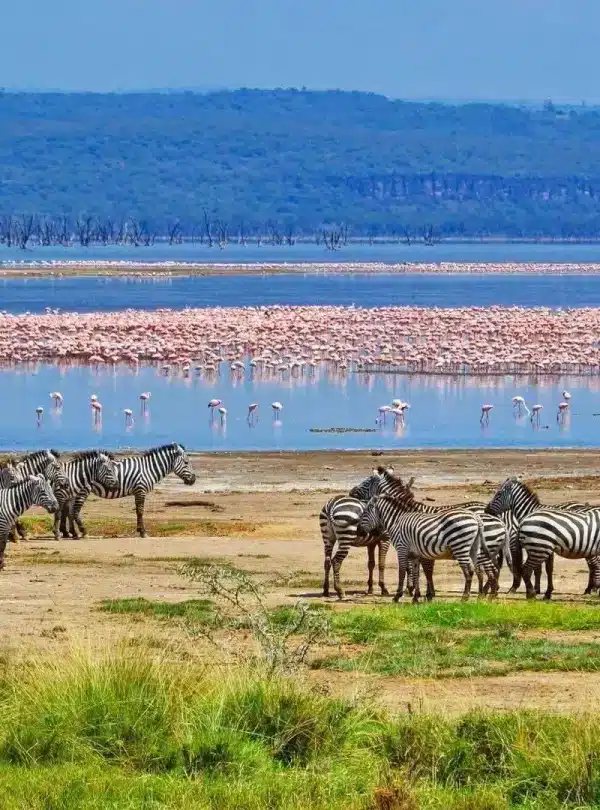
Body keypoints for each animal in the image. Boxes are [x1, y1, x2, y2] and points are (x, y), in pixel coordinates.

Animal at [59, 443, 196, 539]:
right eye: (186, 462)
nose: (194, 479)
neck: (149, 469)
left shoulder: (137, 491)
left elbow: (137, 511)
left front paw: (139, 530)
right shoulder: (141, 490)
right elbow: (140, 511)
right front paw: (143, 532)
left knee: (67, 510)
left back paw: (69, 532)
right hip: (82, 491)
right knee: (74, 510)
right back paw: (81, 532)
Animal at [356, 495, 487, 602]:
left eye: (365, 512)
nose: (358, 531)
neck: (397, 521)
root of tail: (475, 517)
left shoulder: (402, 548)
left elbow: (402, 572)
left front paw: (397, 596)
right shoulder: (415, 555)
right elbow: (416, 574)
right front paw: (416, 597)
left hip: (460, 547)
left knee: (468, 572)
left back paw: (465, 597)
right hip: (474, 548)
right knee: (478, 570)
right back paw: (480, 596)